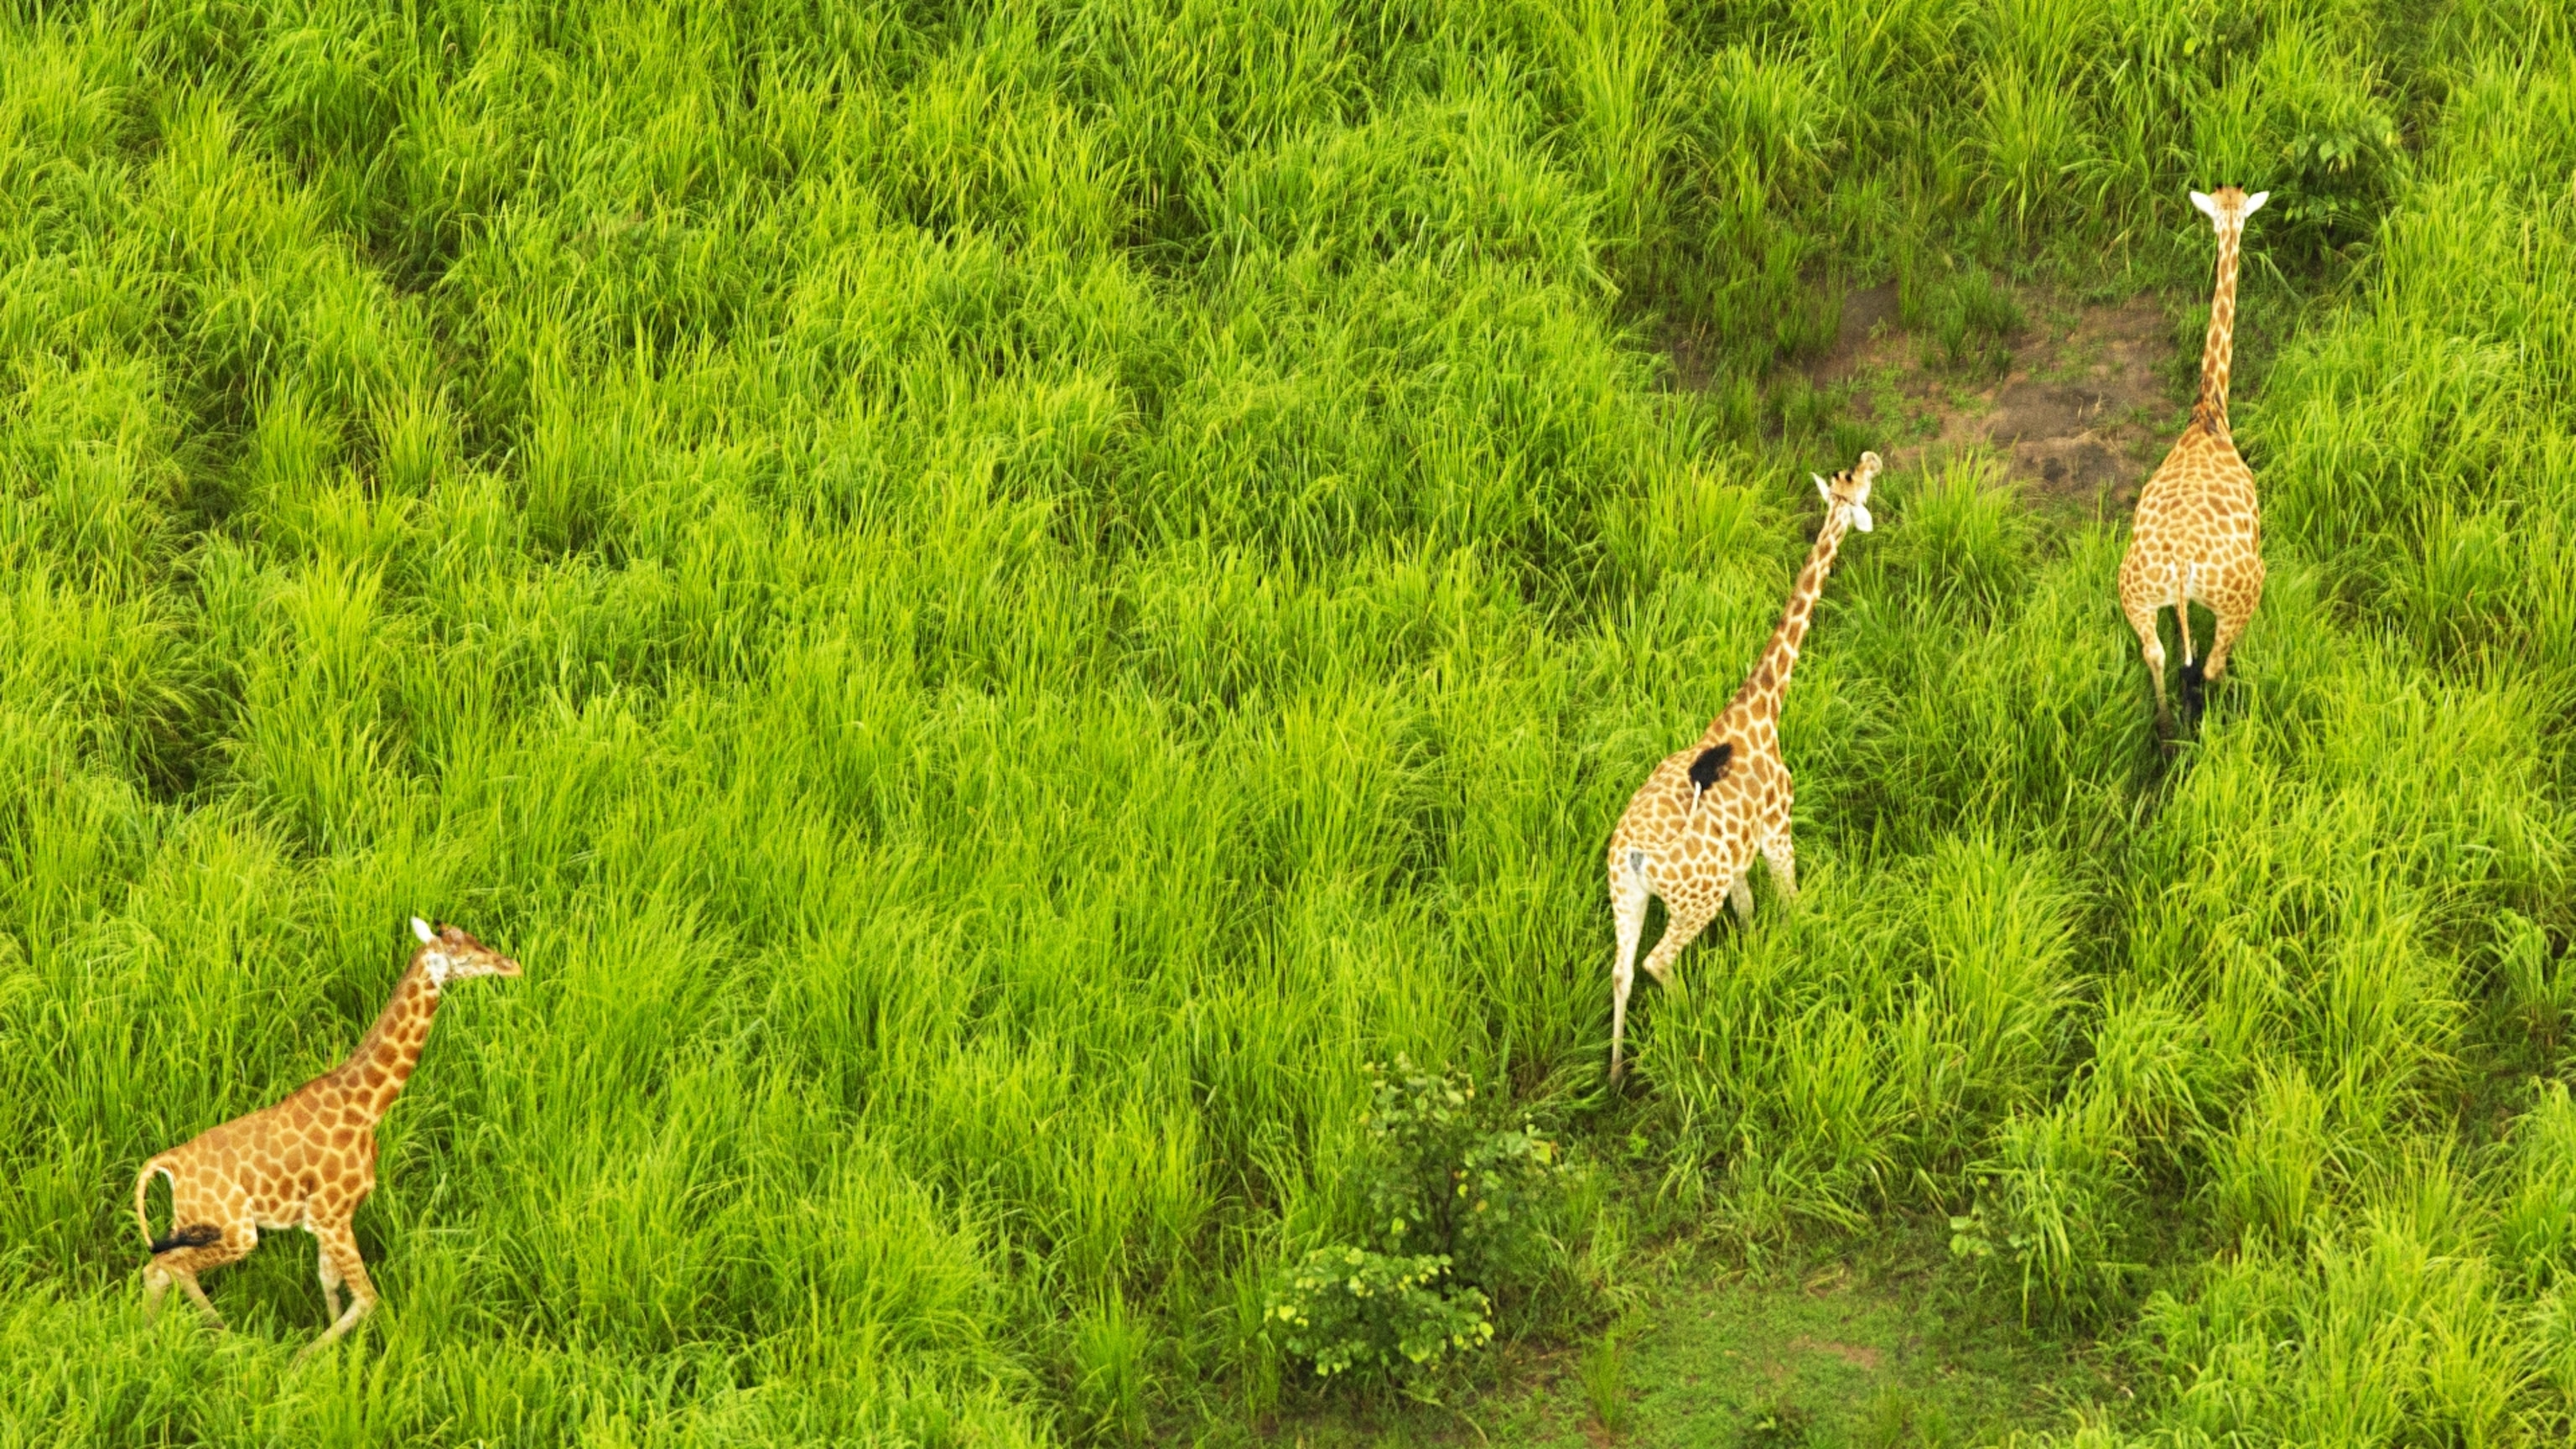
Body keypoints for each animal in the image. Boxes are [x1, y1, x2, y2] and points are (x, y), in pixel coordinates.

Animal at [133, 918, 521, 1365]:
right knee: (166, 1267)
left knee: (161, 1266)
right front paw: (301, 1362)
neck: (367, 1108)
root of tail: (167, 1164)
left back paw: (157, 1339)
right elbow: (367, 1299)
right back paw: (218, 1338)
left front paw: (331, 1365)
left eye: (476, 940)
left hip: (194, 1223)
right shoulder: (330, 1215)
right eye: (467, 957)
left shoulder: (331, 1217)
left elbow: (331, 1288)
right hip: (236, 1230)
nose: (511, 966)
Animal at [1602, 452, 1880, 1084]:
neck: (1761, 709)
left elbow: (1750, 910)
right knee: (1656, 963)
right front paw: (1799, 951)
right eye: (1858, 486)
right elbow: (1792, 900)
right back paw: (1691, 1033)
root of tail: (1635, 854)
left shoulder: (1737, 859)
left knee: (1622, 971)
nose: (1874, 458)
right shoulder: (1778, 828)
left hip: (1625, 894)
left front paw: (1755, 961)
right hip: (1690, 902)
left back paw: (1614, 1074)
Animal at [2120, 185, 2270, 733]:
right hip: (2241, 598)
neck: (2208, 413)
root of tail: (2183, 569)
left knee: (2158, 654)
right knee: (2210, 665)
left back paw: (2166, 730)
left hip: (2136, 596)